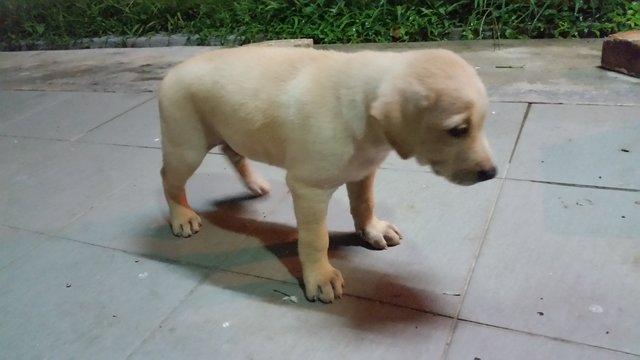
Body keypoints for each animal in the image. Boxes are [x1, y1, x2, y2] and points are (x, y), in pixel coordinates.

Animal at [158, 46, 498, 302]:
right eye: (458, 130)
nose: (492, 173)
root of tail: (173, 70)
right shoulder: (309, 188)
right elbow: (316, 238)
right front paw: (320, 277)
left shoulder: (364, 171)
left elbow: (364, 203)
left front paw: (372, 230)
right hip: (186, 147)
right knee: (168, 178)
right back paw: (181, 217)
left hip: (230, 131)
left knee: (233, 151)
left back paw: (254, 184)